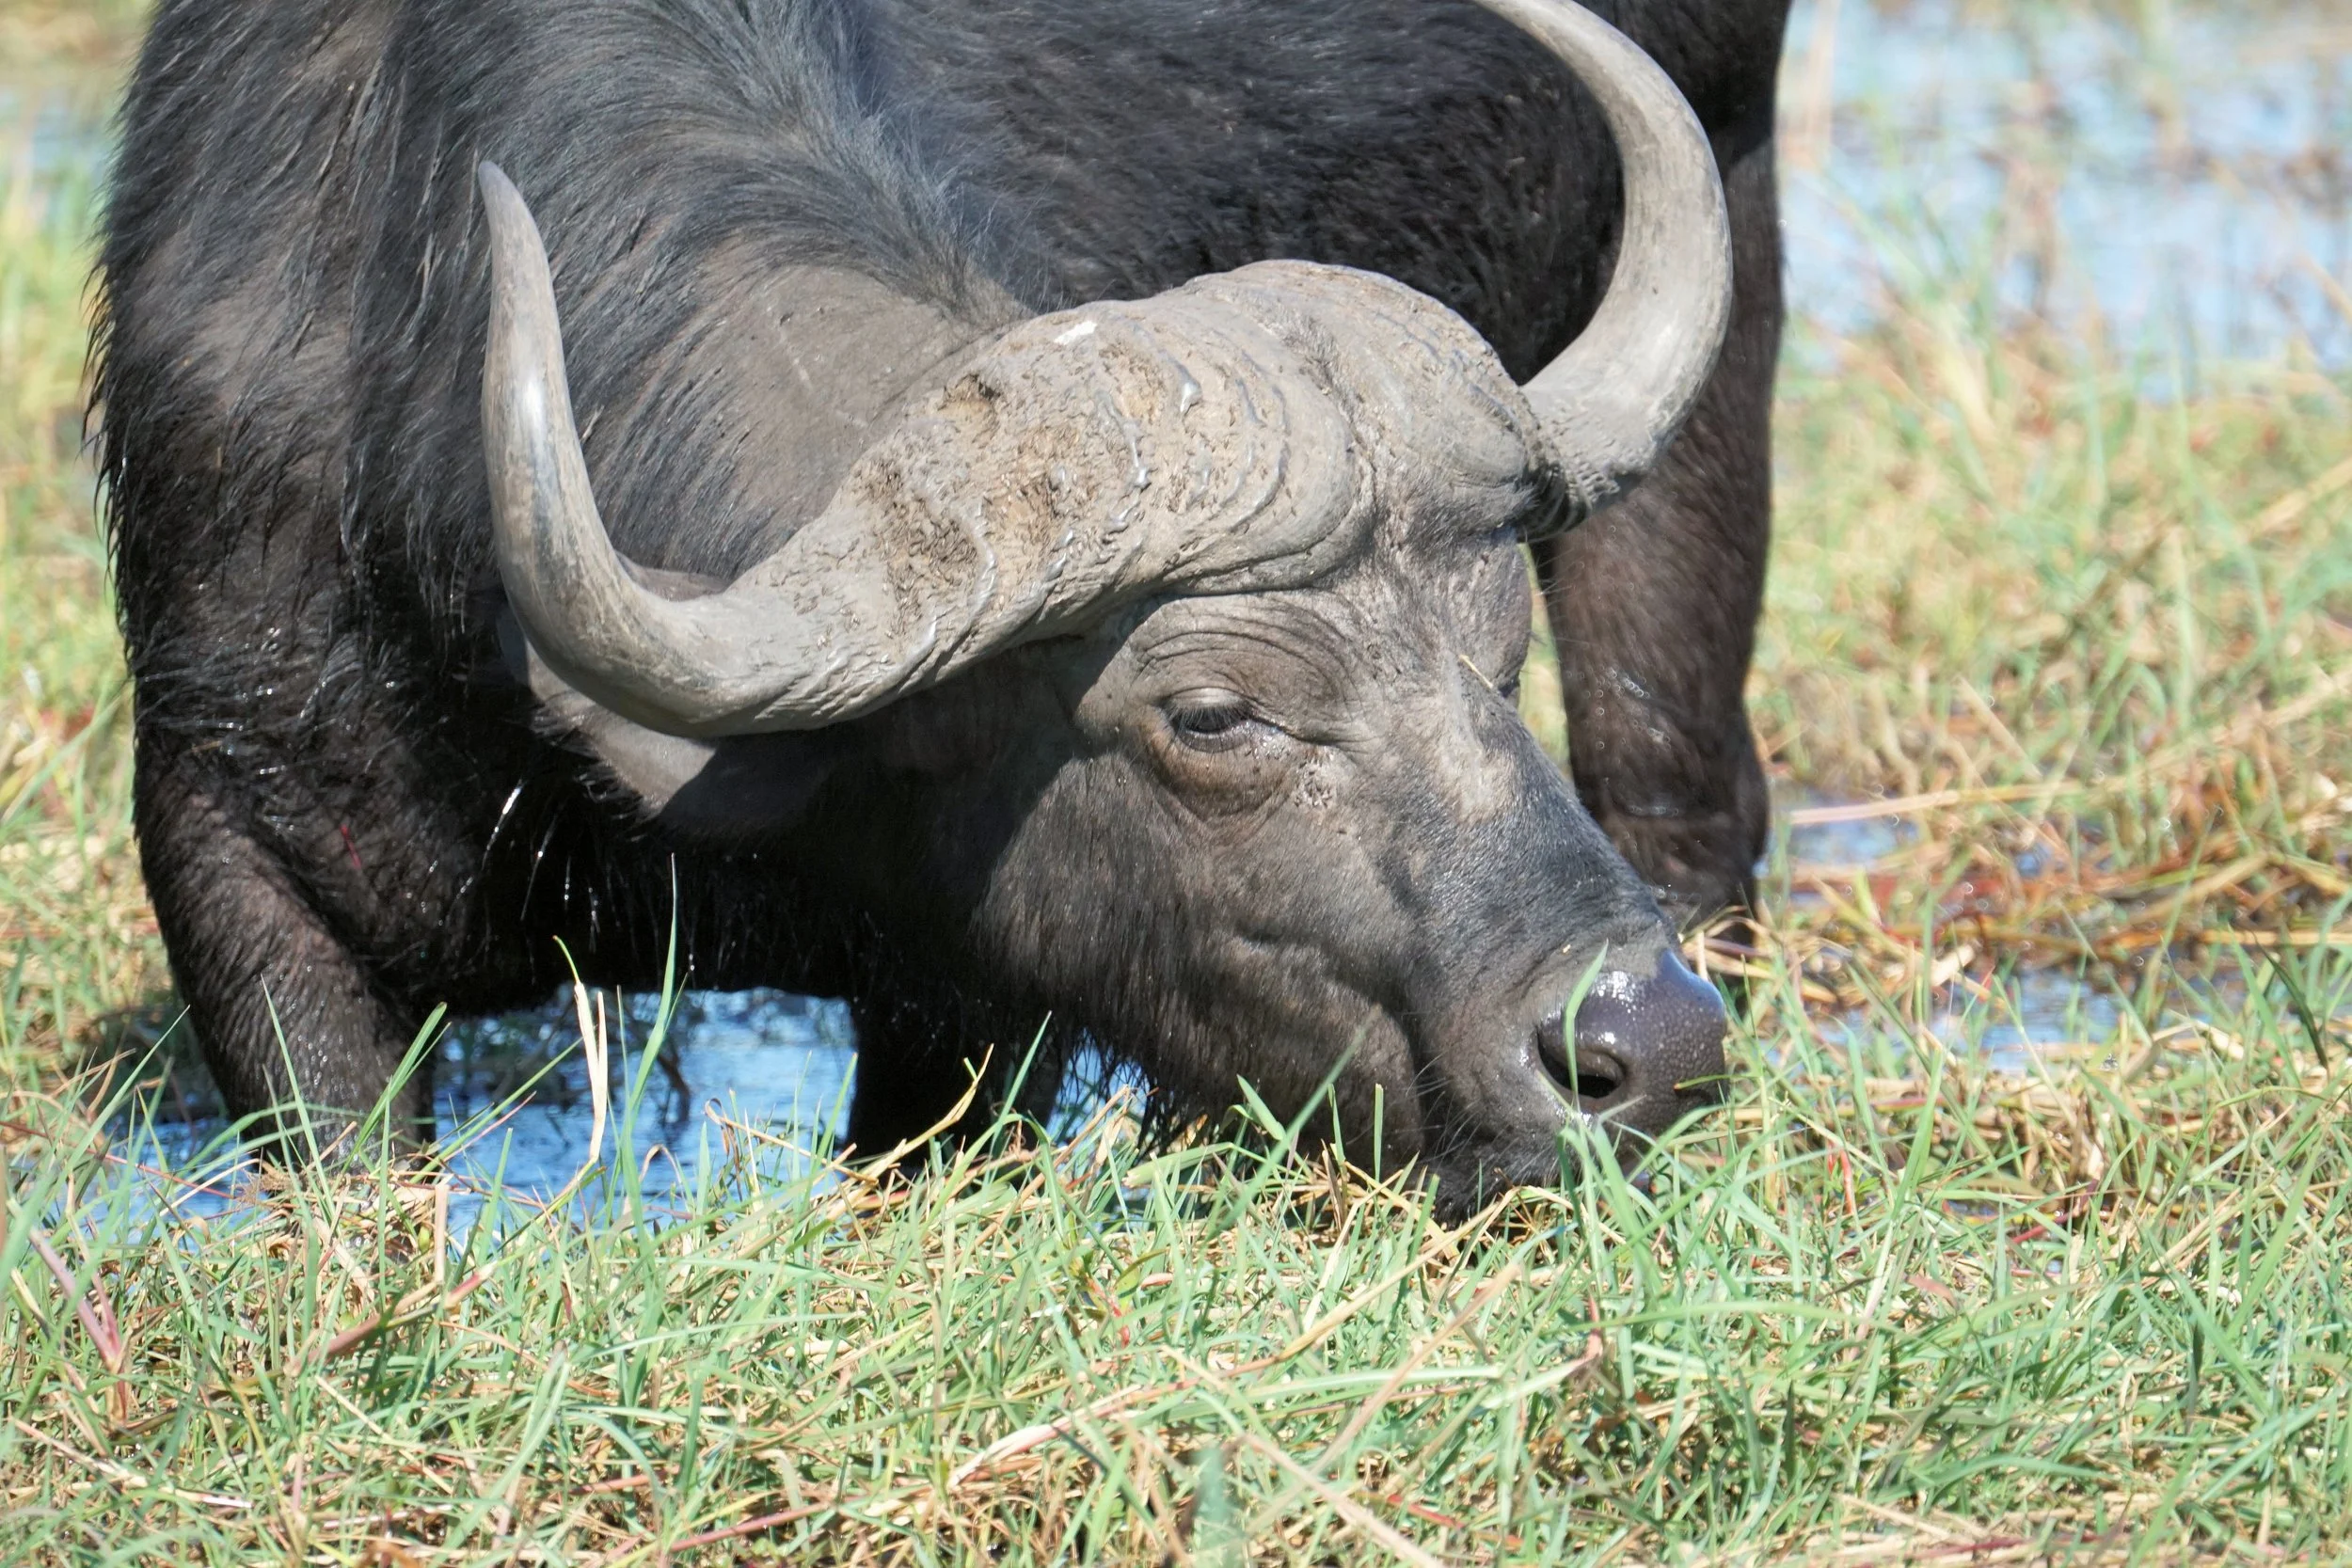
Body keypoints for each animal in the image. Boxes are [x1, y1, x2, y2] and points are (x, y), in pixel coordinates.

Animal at [97, 0, 1788, 1204]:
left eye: (1499, 656)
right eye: (1214, 713)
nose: (1646, 1039)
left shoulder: (979, 991)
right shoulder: (231, 839)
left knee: (1676, 770)